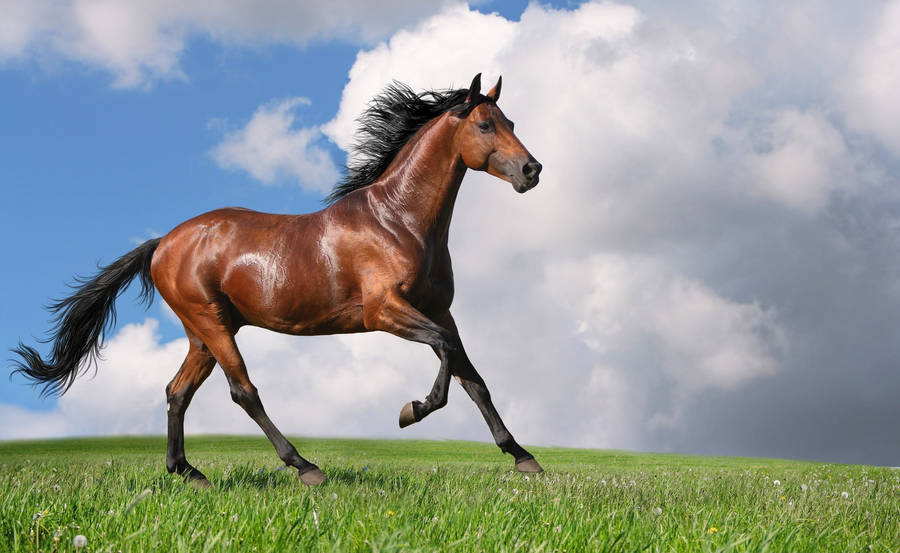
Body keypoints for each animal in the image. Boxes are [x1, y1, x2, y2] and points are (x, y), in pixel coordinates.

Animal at [11, 73, 544, 487]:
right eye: (485, 124)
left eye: (512, 123)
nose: (532, 169)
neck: (399, 221)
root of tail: (163, 242)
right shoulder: (384, 311)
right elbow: (447, 357)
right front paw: (411, 410)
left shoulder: (440, 310)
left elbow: (473, 378)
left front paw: (523, 457)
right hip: (212, 324)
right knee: (243, 390)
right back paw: (305, 467)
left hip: (203, 332)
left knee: (177, 391)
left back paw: (189, 473)